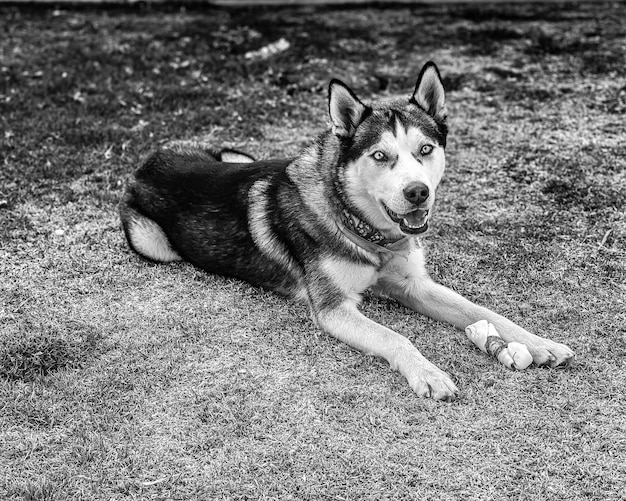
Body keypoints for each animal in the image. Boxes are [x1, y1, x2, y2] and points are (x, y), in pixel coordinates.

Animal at [119, 61, 572, 398]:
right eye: (380, 156)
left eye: (426, 149)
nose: (418, 192)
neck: (361, 227)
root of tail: (148, 161)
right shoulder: (334, 308)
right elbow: (395, 337)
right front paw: (428, 373)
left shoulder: (414, 285)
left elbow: (483, 312)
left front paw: (539, 343)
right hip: (152, 242)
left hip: (238, 154)